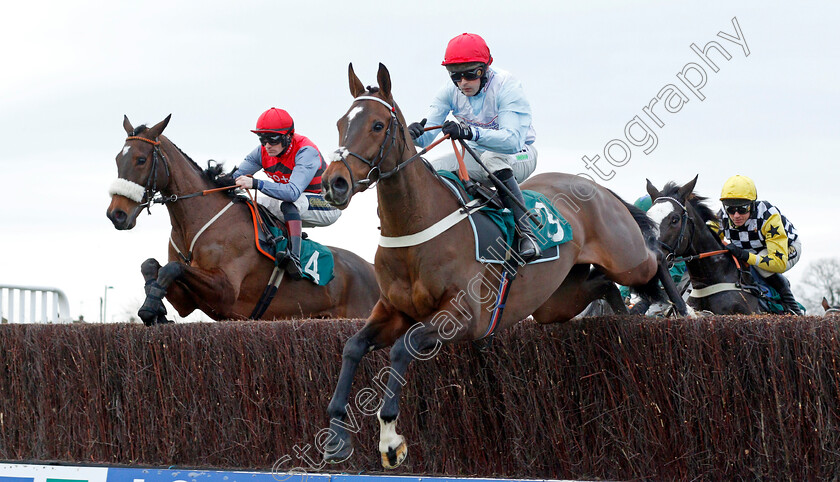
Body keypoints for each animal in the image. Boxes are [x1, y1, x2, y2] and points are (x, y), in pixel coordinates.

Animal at [105, 114, 378, 324]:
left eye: (141, 160)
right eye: (118, 158)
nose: (116, 214)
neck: (192, 227)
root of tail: (372, 269)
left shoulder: (225, 292)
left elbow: (172, 268)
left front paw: (150, 308)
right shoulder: (188, 302)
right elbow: (152, 265)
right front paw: (155, 308)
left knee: (290, 202)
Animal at [320, 63, 688, 466]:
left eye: (377, 125)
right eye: (340, 123)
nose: (335, 183)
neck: (414, 229)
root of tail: (598, 189)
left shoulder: (462, 317)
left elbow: (404, 347)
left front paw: (390, 438)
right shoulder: (391, 310)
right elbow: (352, 346)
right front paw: (337, 436)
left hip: (626, 257)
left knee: (655, 258)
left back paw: (680, 308)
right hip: (556, 302)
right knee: (603, 284)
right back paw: (622, 317)